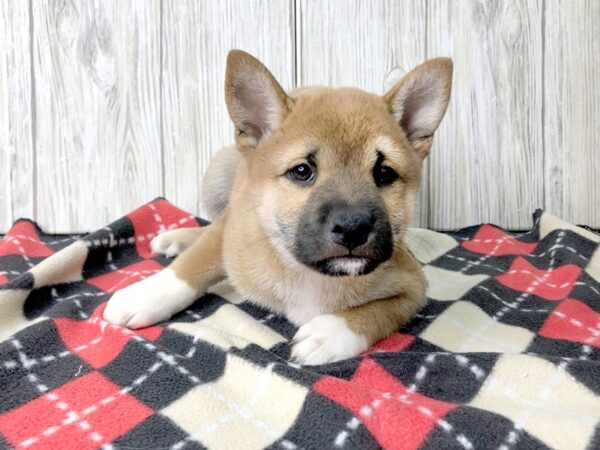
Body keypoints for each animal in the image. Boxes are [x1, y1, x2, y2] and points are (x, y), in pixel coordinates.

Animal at [104, 49, 450, 366]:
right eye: (302, 171)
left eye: (384, 173)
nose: (354, 228)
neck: (306, 272)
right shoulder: (232, 229)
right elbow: (193, 265)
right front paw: (146, 295)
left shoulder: (413, 287)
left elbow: (380, 312)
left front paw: (331, 333)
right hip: (218, 176)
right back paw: (177, 238)